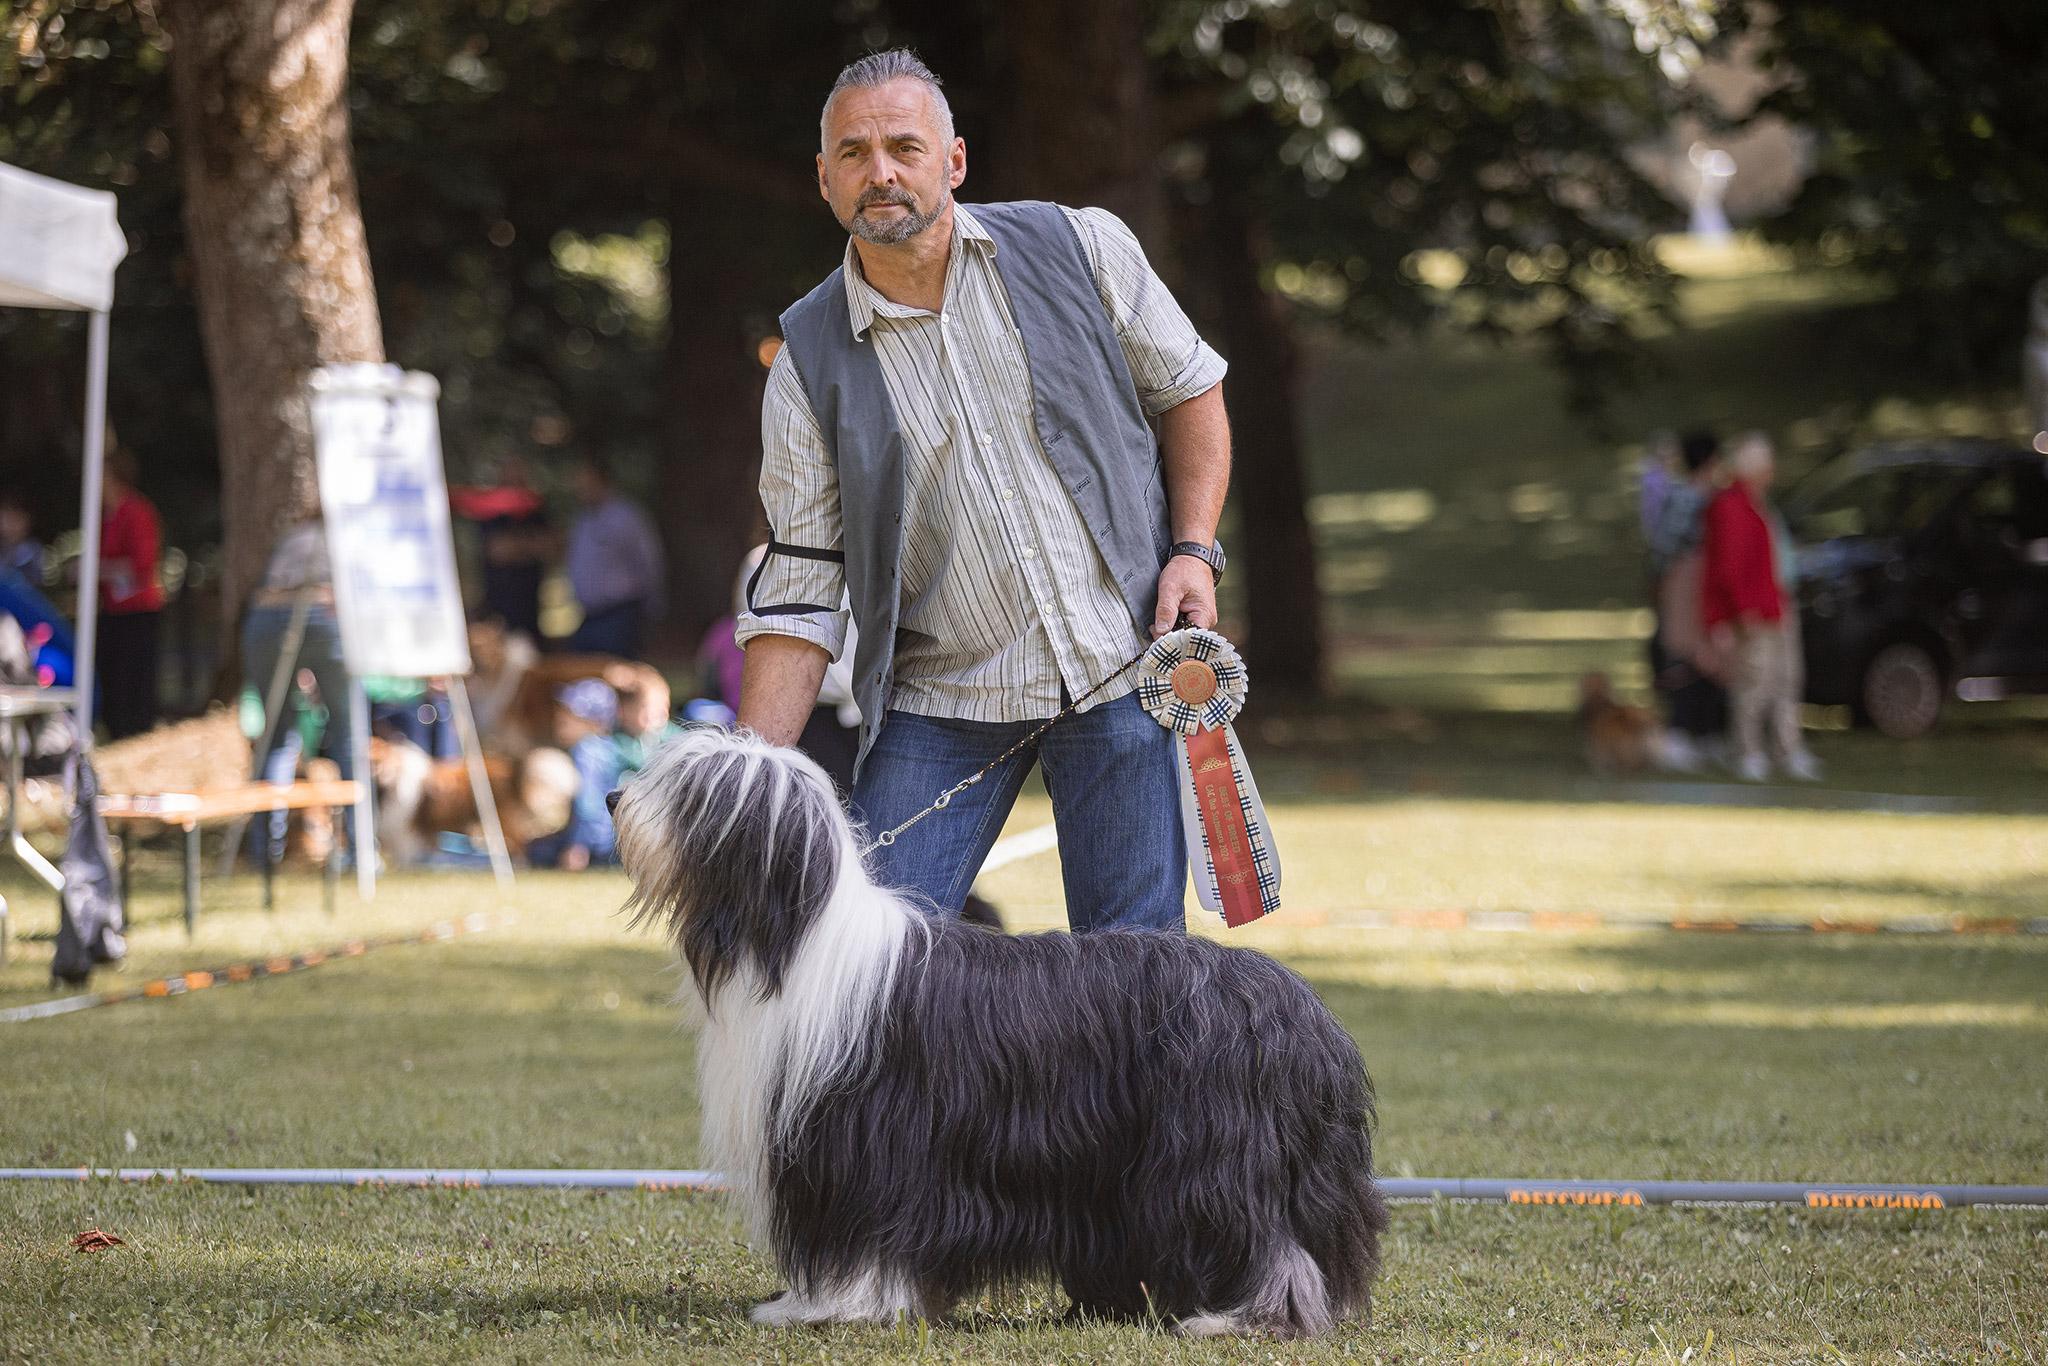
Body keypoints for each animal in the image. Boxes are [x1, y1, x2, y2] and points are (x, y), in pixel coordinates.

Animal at [598, 724, 1384, 1335]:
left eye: (692, 791)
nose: (611, 799)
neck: (794, 940)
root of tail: (1299, 1008)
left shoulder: (857, 1139)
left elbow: (857, 1235)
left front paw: (823, 1306)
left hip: (1216, 1153)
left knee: (1265, 1239)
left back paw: (1238, 1317)